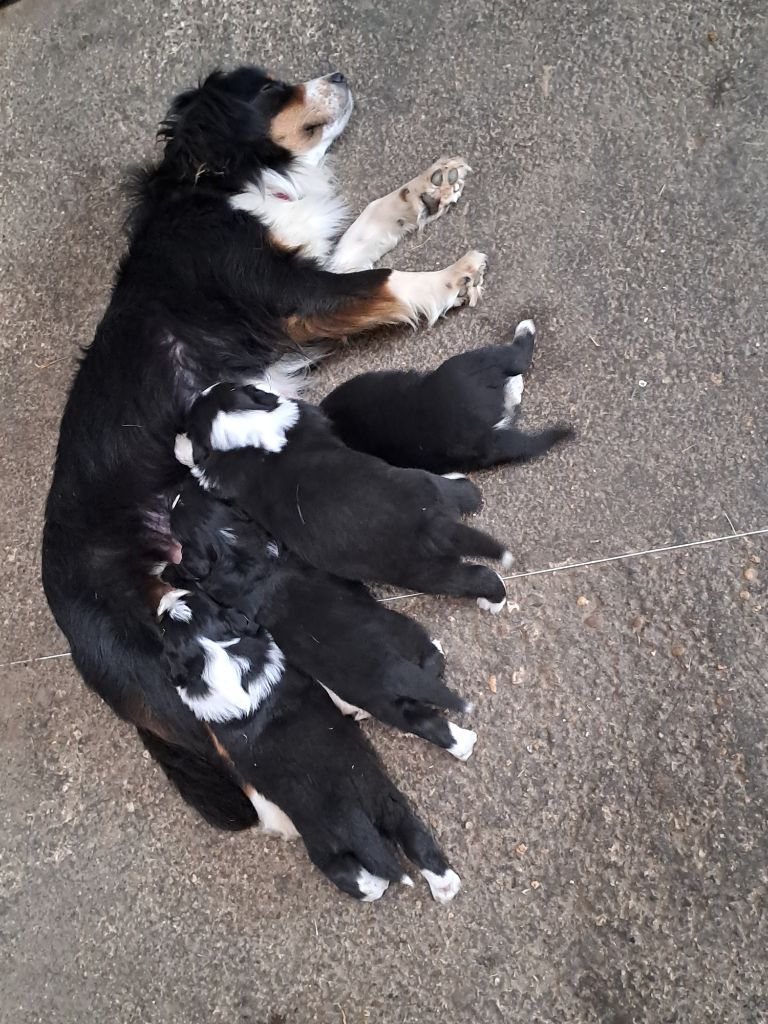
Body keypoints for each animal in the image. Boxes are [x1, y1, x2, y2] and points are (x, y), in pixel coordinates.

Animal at [167, 483, 479, 765]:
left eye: (186, 499)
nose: (173, 494)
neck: (233, 546)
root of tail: (391, 670)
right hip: (401, 640)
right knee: (432, 670)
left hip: (388, 694)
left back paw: (462, 744)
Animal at [174, 382, 512, 606]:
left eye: (190, 423)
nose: (177, 429)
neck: (252, 428)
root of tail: (433, 523)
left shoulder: (220, 478)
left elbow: (196, 465)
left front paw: (180, 447)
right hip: (428, 485)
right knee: (466, 493)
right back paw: (459, 483)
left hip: (421, 571)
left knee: (474, 578)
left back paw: (492, 600)